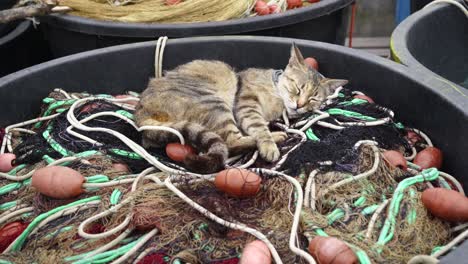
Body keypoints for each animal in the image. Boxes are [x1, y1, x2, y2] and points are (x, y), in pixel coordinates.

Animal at [134, 43, 348, 173]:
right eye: (299, 87)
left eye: (313, 98)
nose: (300, 104)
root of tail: (141, 112)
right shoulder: (246, 104)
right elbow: (259, 129)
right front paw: (269, 144)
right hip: (215, 104)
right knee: (231, 142)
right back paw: (277, 137)